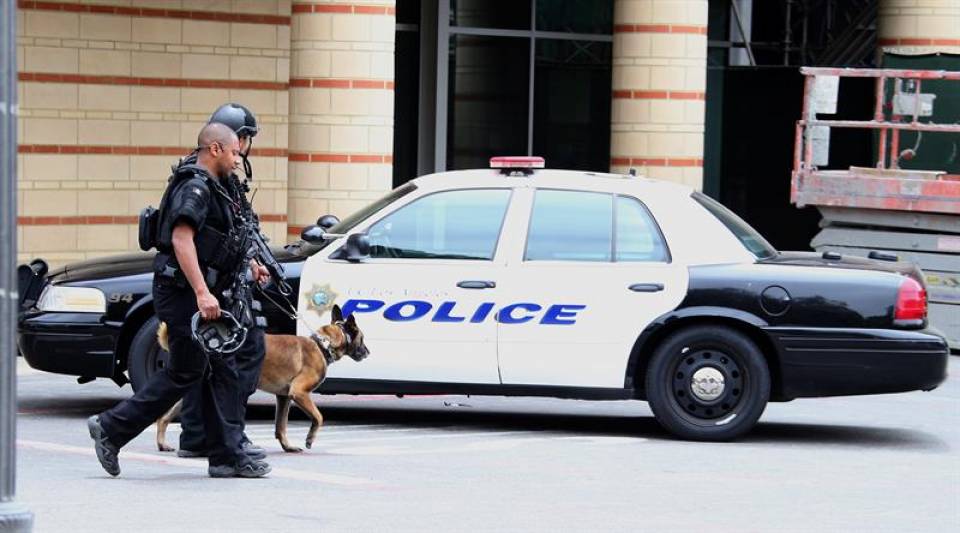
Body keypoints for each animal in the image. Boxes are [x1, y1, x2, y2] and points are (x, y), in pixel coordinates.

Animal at [156, 306, 370, 450]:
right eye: (362, 338)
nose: (368, 352)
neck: (323, 343)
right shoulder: (299, 393)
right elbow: (319, 416)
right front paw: (309, 438)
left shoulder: (284, 398)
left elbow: (281, 426)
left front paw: (287, 446)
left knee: (163, 417)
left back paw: (163, 444)